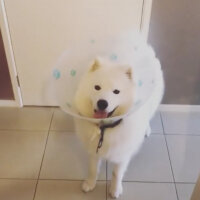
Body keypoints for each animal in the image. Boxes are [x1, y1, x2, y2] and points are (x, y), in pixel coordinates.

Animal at [74, 41, 164, 198]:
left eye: (116, 91)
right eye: (97, 87)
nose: (102, 103)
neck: (105, 127)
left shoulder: (123, 152)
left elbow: (116, 173)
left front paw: (115, 190)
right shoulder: (94, 149)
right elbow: (92, 168)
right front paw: (90, 184)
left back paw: (146, 129)